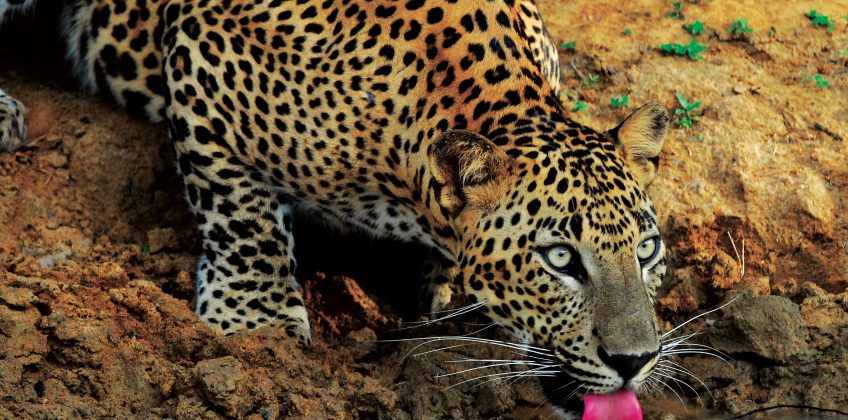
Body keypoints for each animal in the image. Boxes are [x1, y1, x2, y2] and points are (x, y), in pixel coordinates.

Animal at [0, 0, 670, 416]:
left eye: (646, 250)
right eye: (560, 259)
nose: (636, 361)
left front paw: (443, 287)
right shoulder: (201, 53)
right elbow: (239, 213)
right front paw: (257, 324)